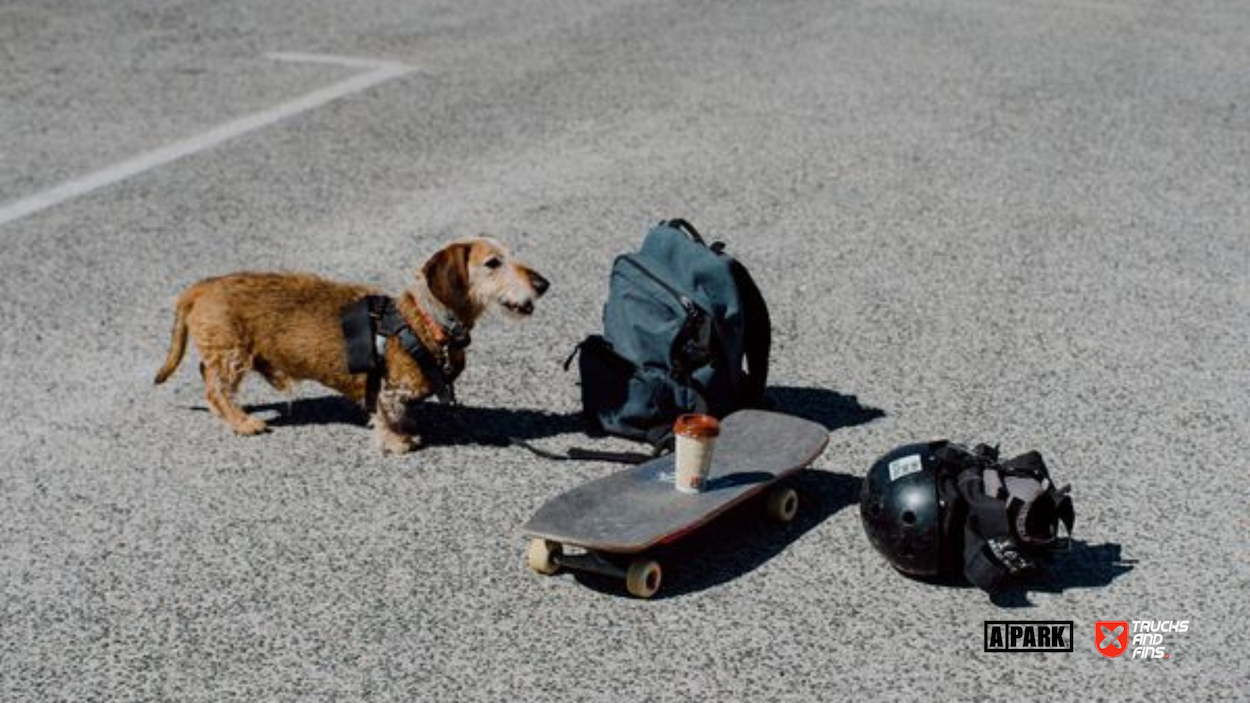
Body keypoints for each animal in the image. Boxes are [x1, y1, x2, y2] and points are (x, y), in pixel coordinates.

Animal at [155, 237, 547, 450]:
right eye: (493, 262)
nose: (543, 284)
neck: (424, 321)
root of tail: (201, 287)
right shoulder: (389, 389)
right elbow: (387, 415)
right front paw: (397, 443)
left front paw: (407, 430)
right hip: (232, 354)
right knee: (215, 390)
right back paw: (243, 422)